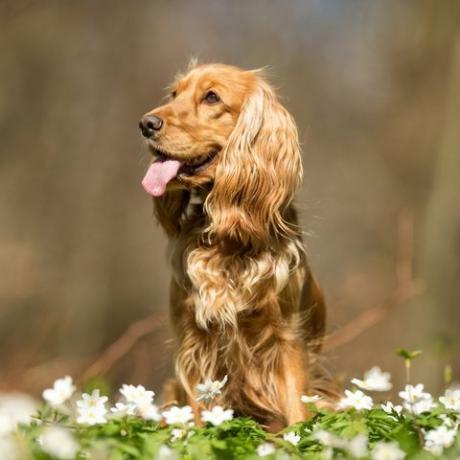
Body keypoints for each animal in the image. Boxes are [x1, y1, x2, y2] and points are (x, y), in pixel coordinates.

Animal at [138, 62, 326, 432]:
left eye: (212, 97)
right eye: (174, 94)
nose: (146, 124)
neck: (230, 240)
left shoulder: (287, 338)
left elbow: (297, 410)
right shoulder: (194, 343)